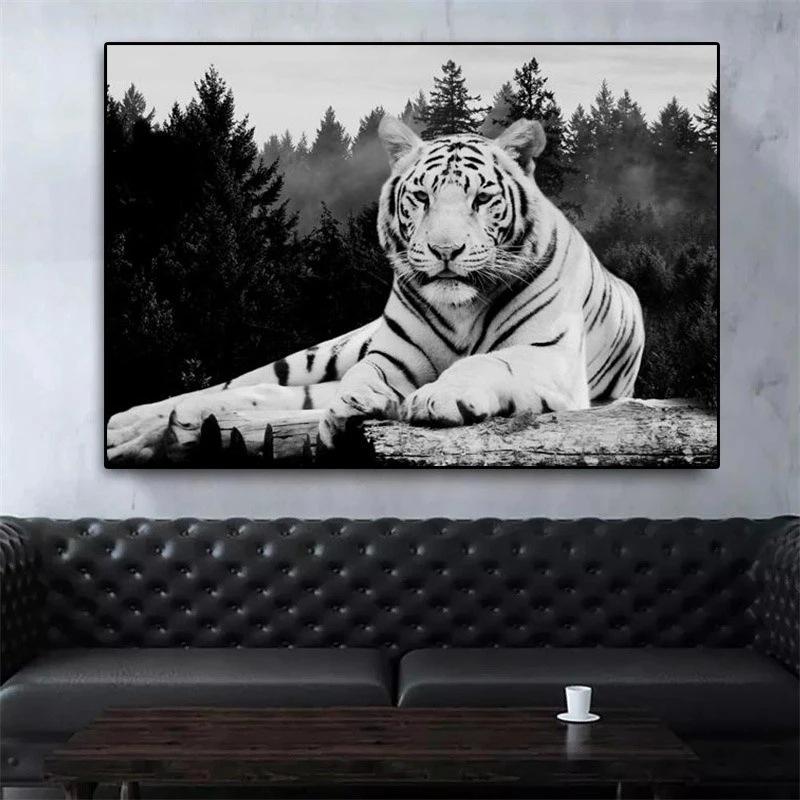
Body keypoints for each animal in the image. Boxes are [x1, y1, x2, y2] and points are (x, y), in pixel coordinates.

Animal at [106, 115, 644, 464]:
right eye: (422, 197)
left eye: (481, 199)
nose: (445, 250)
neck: (463, 309)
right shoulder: (391, 358)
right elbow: (364, 378)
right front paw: (352, 409)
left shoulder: (549, 357)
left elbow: (489, 361)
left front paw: (436, 397)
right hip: (323, 354)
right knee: (239, 386)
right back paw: (127, 427)